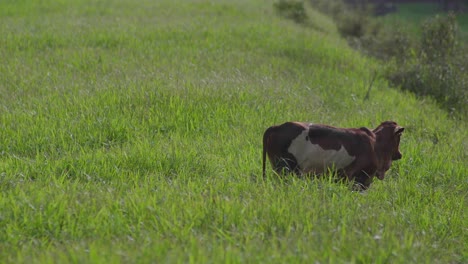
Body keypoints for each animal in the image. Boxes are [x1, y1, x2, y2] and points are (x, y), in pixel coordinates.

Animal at [262, 120, 404, 189]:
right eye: (399, 137)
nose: (400, 154)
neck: (376, 144)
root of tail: (277, 127)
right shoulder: (361, 178)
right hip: (284, 168)